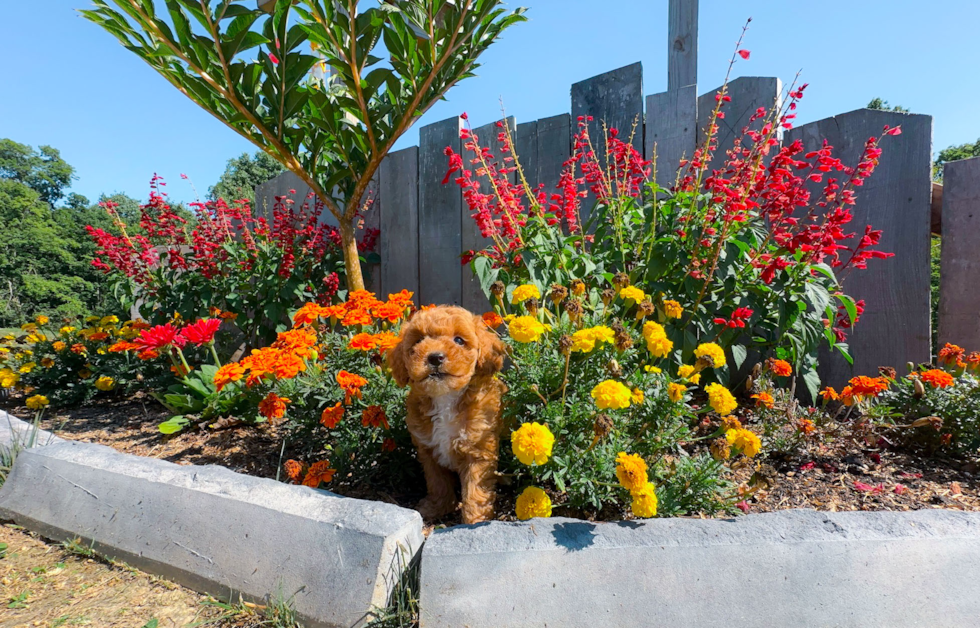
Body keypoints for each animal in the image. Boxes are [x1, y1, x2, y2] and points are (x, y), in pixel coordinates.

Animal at [386, 306, 506, 524]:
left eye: (459, 340)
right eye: (418, 340)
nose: (435, 357)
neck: (445, 397)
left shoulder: (478, 452)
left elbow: (475, 491)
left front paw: (475, 521)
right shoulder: (428, 449)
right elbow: (437, 482)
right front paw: (437, 507)